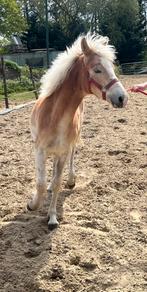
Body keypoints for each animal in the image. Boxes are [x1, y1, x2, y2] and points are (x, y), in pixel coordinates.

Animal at [27, 33, 128, 229]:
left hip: (70, 145)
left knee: (71, 159)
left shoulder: (63, 151)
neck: (54, 116)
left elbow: (58, 183)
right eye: (97, 69)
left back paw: (71, 180)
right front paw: (32, 205)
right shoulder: (39, 150)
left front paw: (52, 218)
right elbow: (40, 183)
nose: (122, 98)